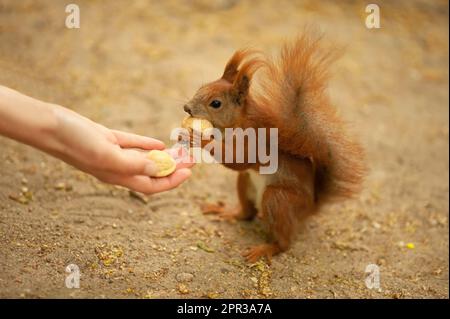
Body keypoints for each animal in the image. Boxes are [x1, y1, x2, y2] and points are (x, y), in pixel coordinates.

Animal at [183, 32, 366, 264]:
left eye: (215, 103)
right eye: (200, 88)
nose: (186, 108)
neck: (237, 123)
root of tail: (311, 207)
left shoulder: (255, 141)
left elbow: (239, 160)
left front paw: (200, 140)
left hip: (279, 200)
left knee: (284, 242)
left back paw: (265, 249)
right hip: (246, 183)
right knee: (247, 213)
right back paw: (227, 211)